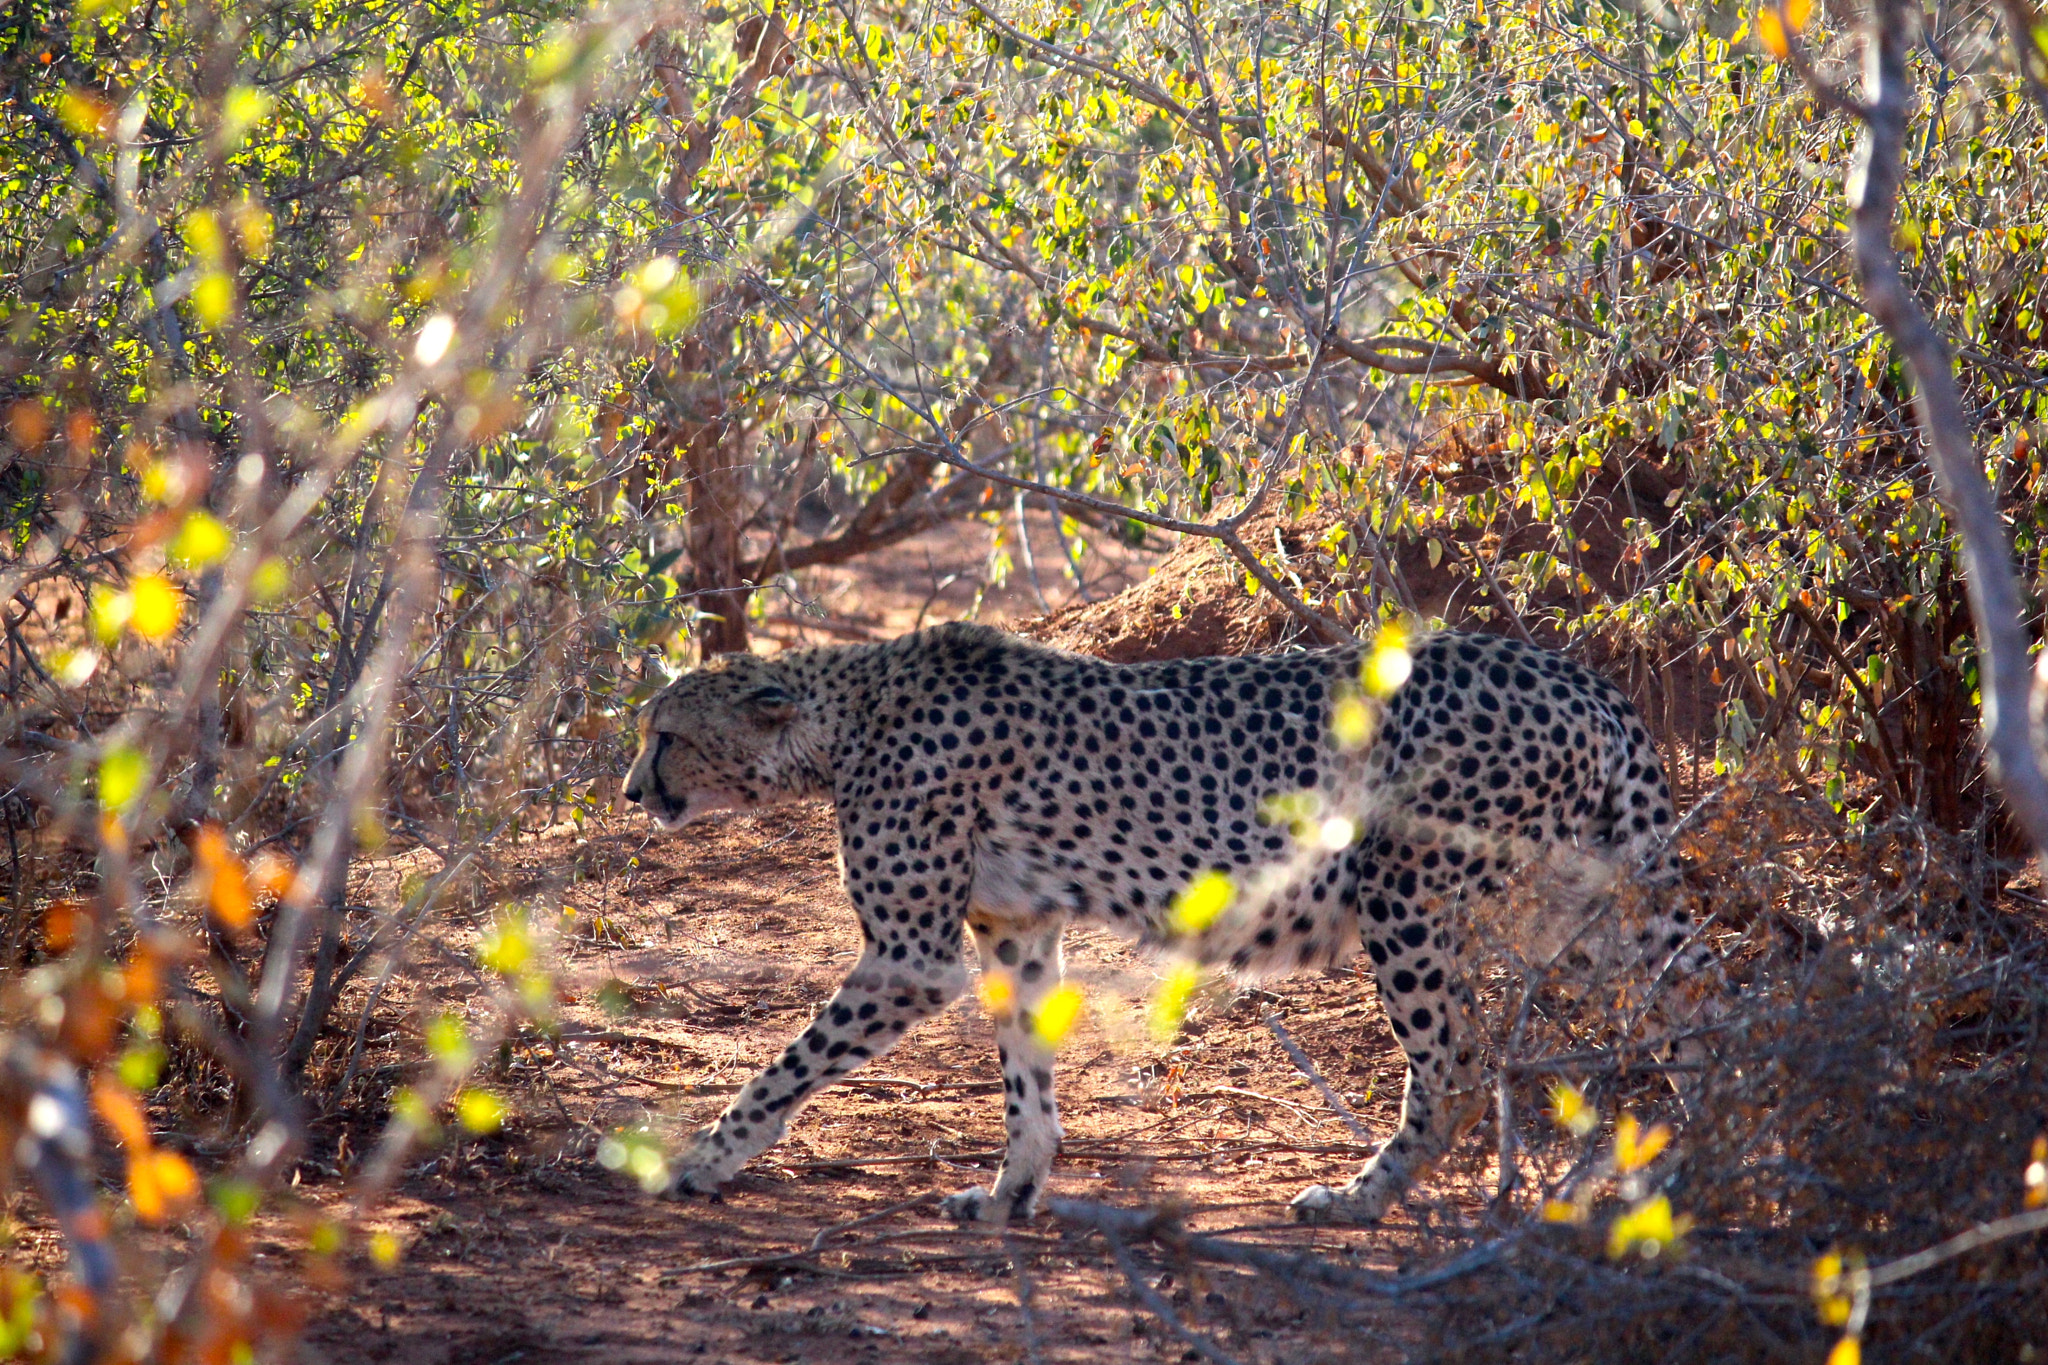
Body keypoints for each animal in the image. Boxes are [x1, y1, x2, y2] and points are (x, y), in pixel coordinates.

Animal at [621, 622, 1712, 1225]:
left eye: (665, 734)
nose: (633, 791)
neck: (842, 721)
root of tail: (1576, 675)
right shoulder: (1013, 925)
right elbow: (1026, 1076)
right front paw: (1011, 1193)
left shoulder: (909, 957)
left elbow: (787, 1065)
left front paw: (701, 1157)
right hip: (1584, 901)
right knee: (1689, 1005)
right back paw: (1692, 1164)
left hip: (1413, 898)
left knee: (1455, 1064)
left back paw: (1362, 1197)